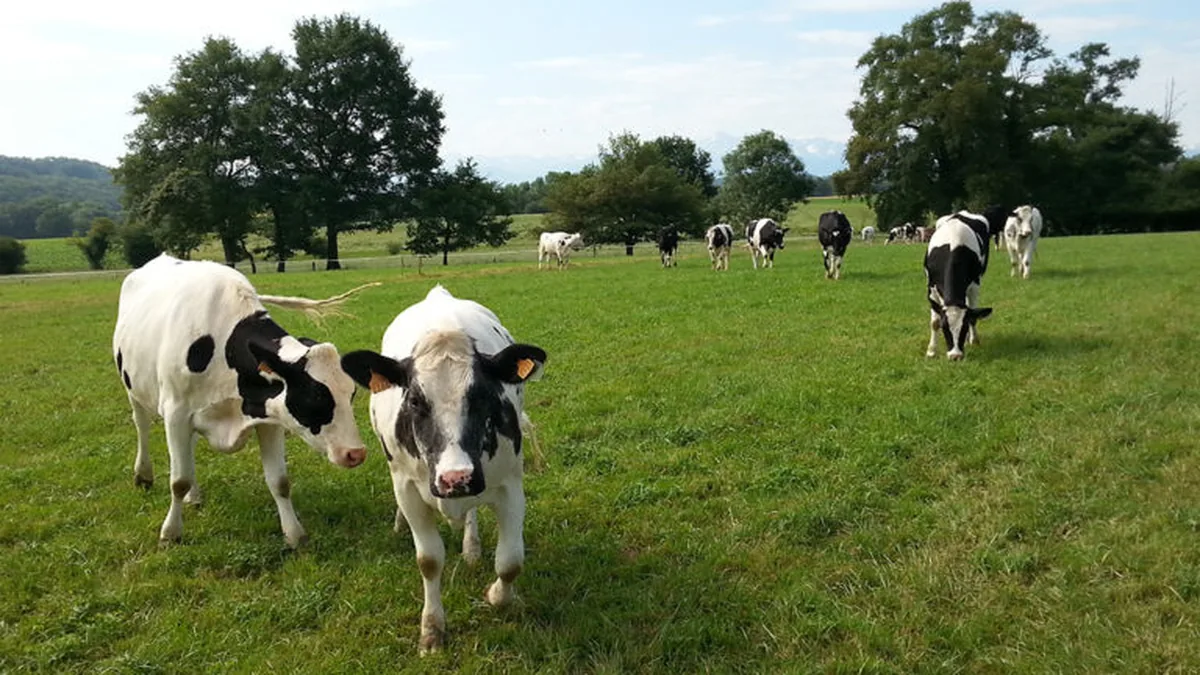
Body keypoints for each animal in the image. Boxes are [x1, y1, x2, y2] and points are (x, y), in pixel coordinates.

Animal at [112, 254, 379, 548]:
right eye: (315, 395)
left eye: (351, 394)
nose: (356, 453)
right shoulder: (176, 413)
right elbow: (178, 480)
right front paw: (171, 532)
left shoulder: (269, 417)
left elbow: (279, 481)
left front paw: (294, 535)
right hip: (135, 390)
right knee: (142, 426)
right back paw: (143, 475)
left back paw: (194, 495)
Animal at [340, 285, 547, 654]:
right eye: (415, 401)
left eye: (482, 396)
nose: (456, 478)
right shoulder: (407, 488)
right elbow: (429, 560)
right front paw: (432, 629)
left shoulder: (510, 484)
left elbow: (510, 560)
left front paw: (497, 596)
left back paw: (471, 547)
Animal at [925, 211, 998, 360]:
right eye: (944, 327)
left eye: (963, 328)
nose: (955, 356)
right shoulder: (931, 289)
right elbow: (934, 322)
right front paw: (931, 351)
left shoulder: (975, 286)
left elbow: (973, 317)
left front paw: (973, 340)